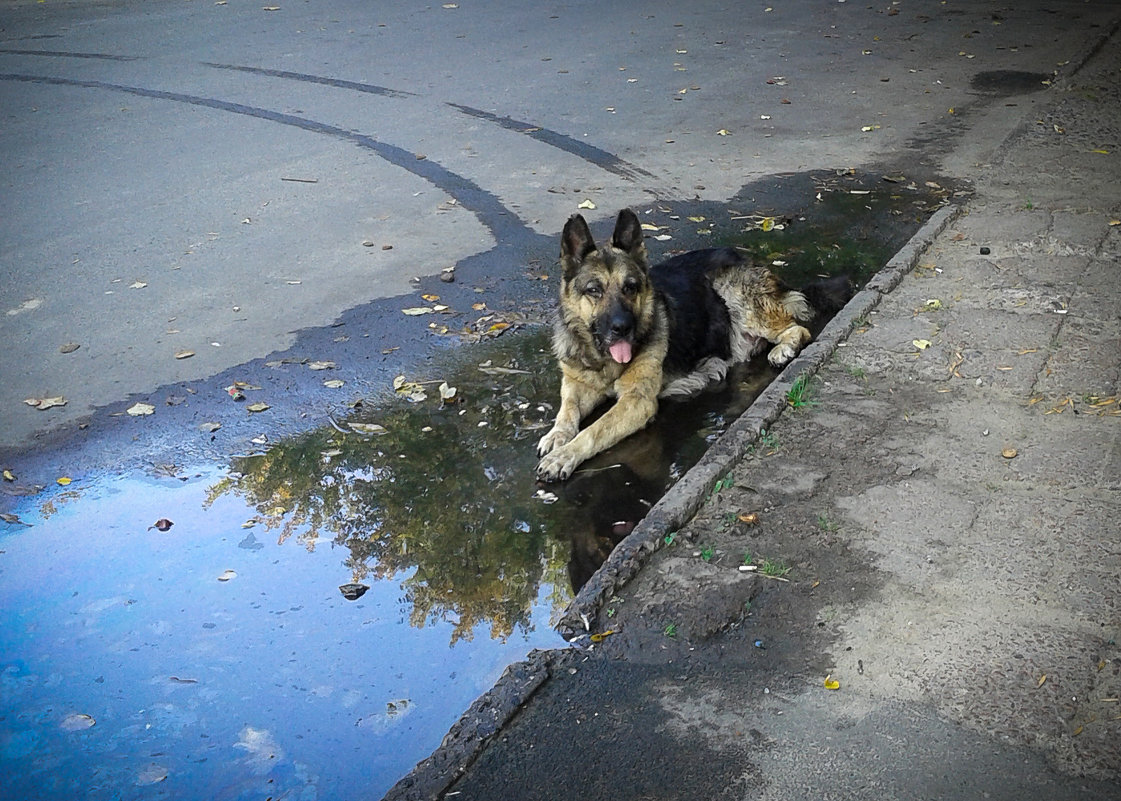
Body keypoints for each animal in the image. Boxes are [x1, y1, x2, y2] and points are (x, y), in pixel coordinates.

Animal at [535, 208, 847, 481]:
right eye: (594, 291)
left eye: (630, 288)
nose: (622, 328)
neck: (601, 358)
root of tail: (747, 258)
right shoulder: (576, 384)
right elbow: (567, 410)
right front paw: (556, 435)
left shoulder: (637, 402)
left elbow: (594, 431)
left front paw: (562, 457)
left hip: (733, 293)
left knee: (798, 327)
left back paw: (783, 349)